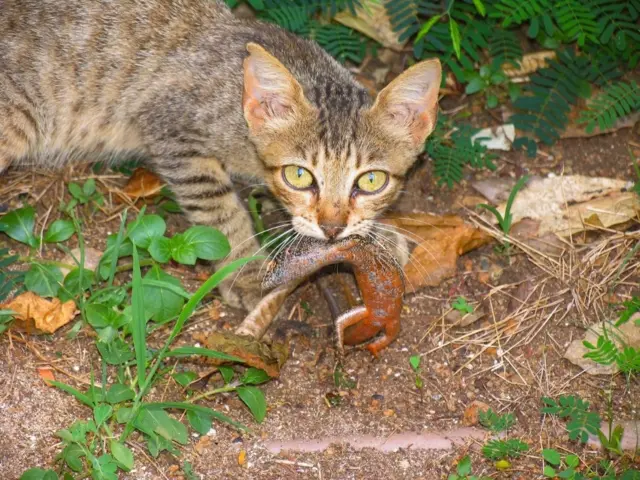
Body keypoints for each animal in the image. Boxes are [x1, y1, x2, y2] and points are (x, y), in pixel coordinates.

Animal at [0, 0, 440, 310]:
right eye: (299, 175)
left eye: (371, 180)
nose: (332, 229)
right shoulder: (171, 130)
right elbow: (220, 211)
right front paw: (245, 272)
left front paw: (378, 237)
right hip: (16, 119)